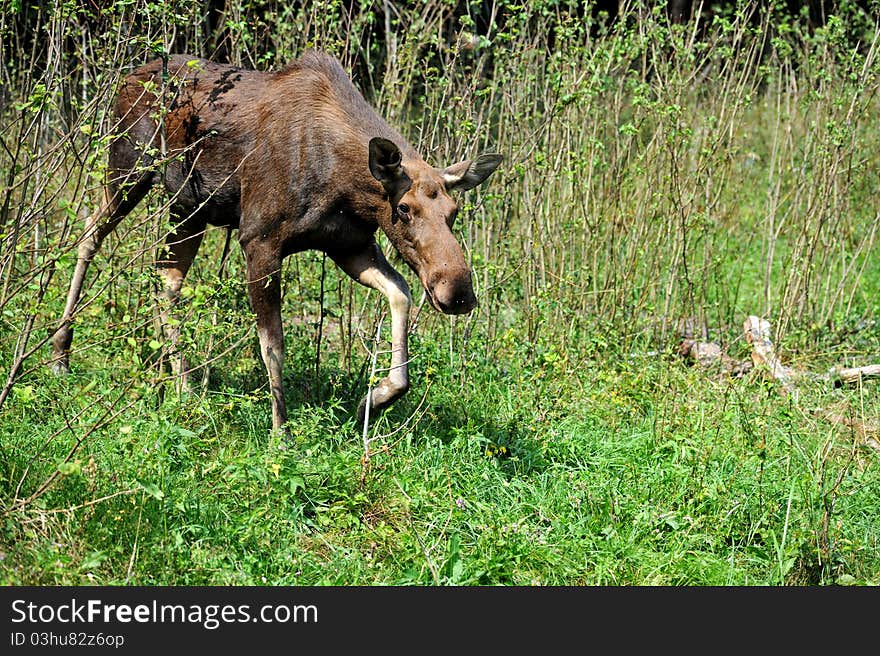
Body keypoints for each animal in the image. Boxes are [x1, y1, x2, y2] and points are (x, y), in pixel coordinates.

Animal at [49, 50, 502, 430]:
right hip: (126, 170)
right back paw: (61, 353)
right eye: (404, 209)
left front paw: (376, 398)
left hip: (187, 209)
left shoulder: (349, 246)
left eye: (454, 211)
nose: (458, 291)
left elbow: (401, 293)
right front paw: (280, 432)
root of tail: (127, 77)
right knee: (88, 236)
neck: (346, 184)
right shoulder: (259, 241)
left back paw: (181, 385)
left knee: (166, 278)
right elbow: (274, 344)